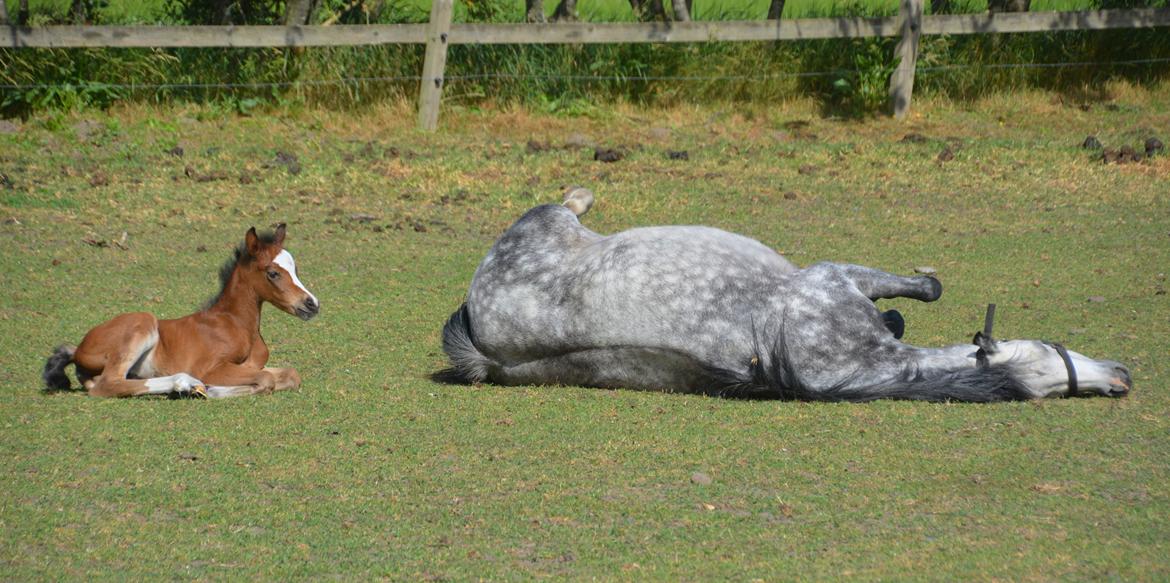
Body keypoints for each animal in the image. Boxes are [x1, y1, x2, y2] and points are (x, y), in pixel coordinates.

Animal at [42, 224, 319, 399]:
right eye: (273, 273)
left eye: (295, 269)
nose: (312, 304)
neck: (237, 324)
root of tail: (79, 349)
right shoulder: (211, 367)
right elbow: (266, 381)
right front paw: (211, 389)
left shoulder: (255, 365)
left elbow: (290, 375)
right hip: (142, 322)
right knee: (108, 384)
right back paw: (185, 383)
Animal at [440, 189, 1132, 402]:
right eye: (1042, 352)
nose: (1121, 378)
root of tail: (483, 344)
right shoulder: (835, 274)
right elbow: (926, 288)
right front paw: (908, 301)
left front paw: (897, 318)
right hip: (542, 222)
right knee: (562, 202)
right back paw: (583, 195)